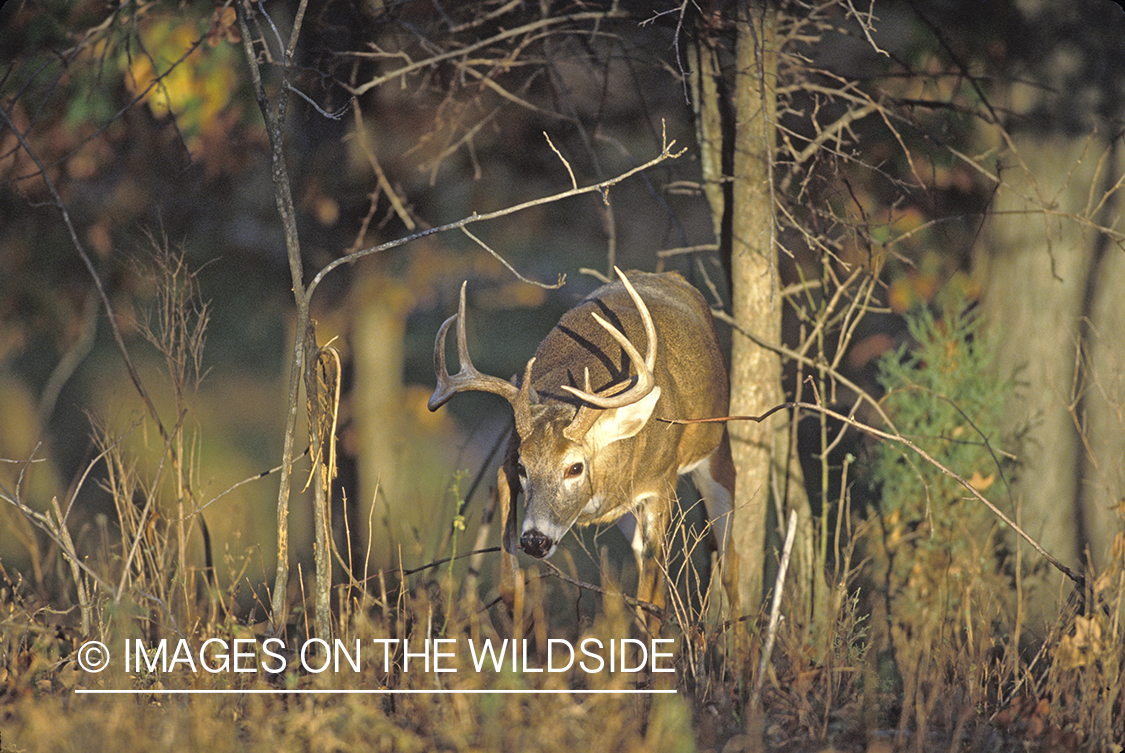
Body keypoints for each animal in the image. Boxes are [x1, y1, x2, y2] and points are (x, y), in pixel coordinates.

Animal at [428, 268, 738, 628]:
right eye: (522, 467)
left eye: (575, 467)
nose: (535, 540)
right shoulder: (505, 464)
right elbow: (508, 586)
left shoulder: (662, 481)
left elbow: (653, 601)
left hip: (716, 446)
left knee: (730, 561)